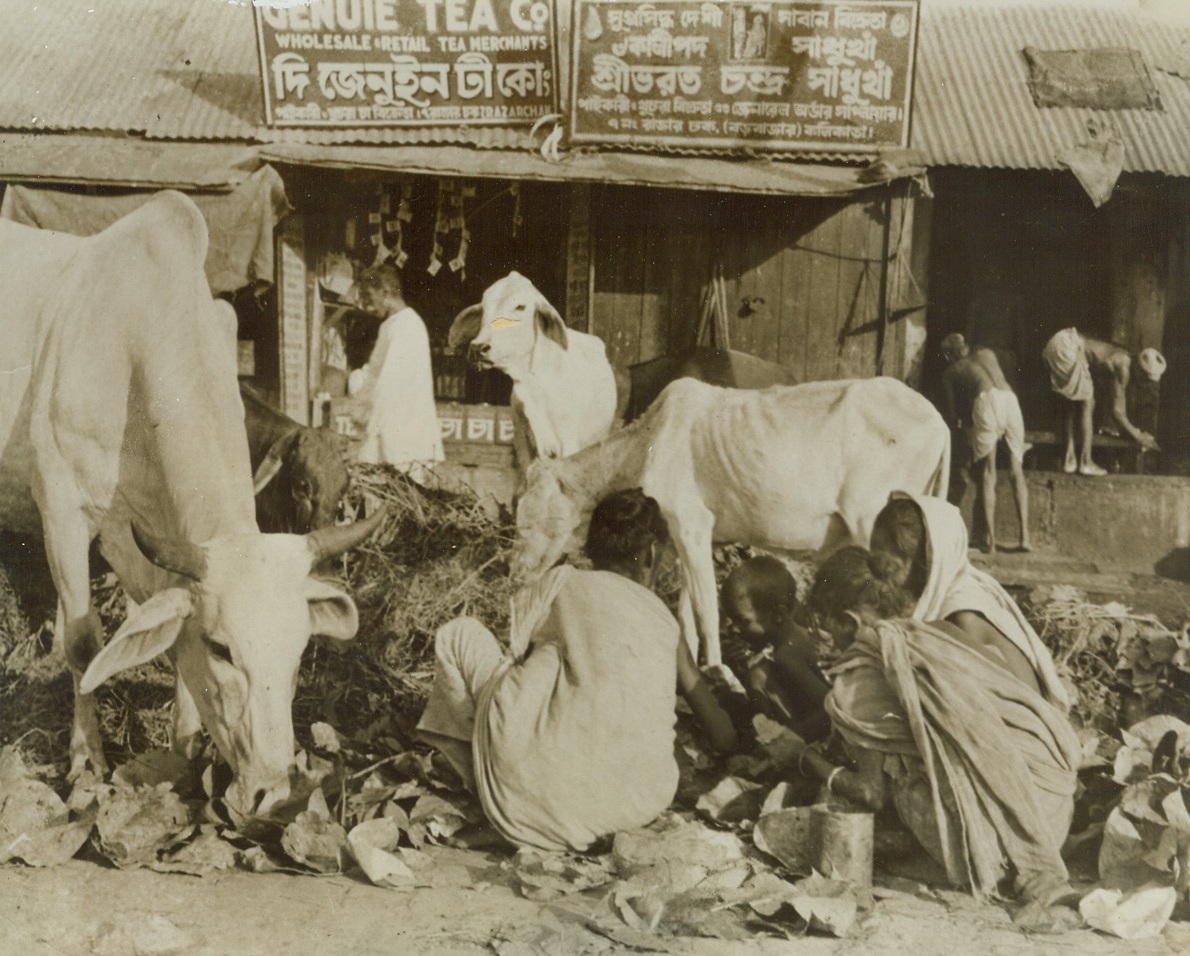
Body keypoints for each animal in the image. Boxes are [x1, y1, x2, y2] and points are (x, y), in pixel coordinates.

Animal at [445, 271, 614, 466]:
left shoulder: (569, 440)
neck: (532, 382)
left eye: (520, 306)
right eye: (484, 307)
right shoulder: (522, 442)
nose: (478, 347)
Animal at [511, 378, 947, 671]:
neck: (647, 443)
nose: (515, 572)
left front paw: (719, 672)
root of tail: (939, 421)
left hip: (873, 521)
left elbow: (707, 612)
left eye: (529, 516)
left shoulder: (691, 524)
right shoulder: (680, 536)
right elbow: (686, 614)